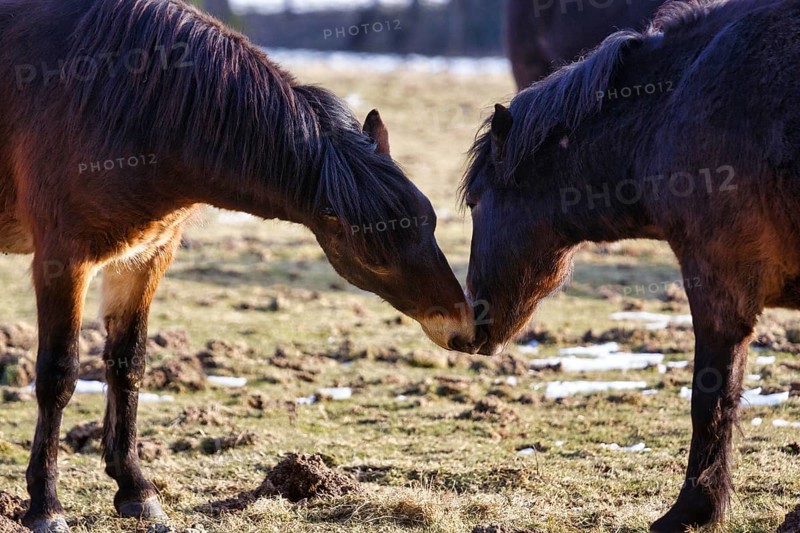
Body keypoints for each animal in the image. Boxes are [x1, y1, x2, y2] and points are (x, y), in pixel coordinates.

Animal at [0, 0, 484, 530]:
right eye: (374, 258)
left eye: (430, 219)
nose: (464, 329)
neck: (125, 103)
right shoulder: (63, 259)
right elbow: (58, 375)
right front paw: (45, 505)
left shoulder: (146, 257)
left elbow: (128, 366)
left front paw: (136, 491)